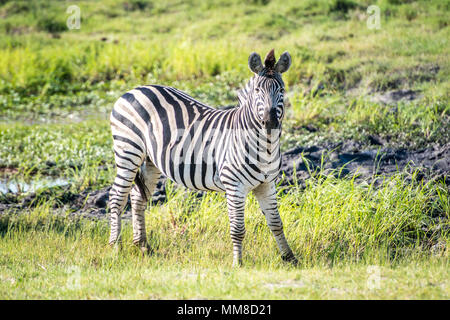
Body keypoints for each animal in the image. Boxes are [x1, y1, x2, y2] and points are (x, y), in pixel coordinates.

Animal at [108, 48, 298, 266]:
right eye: (258, 91)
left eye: (282, 90)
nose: (270, 122)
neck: (264, 147)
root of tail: (134, 90)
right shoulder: (234, 185)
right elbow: (238, 229)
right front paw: (238, 263)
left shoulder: (266, 184)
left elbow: (276, 223)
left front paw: (290, 257)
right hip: (128, 151)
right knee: (116, 197)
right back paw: (115, 248)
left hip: (150, 160)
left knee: (137, 197)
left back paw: (143, 246)